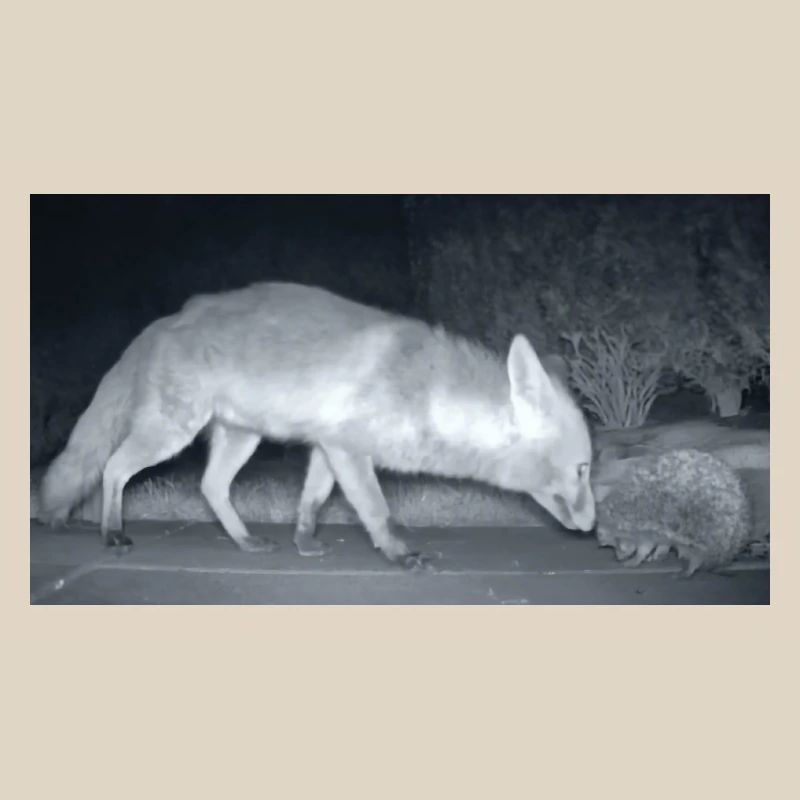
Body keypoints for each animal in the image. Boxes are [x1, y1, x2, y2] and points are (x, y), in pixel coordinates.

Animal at [39, 282, 596, 566]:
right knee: (112, 469)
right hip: (170, 433)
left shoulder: (330, 447)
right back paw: (111, 532)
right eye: (583, 470)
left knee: (210, 487)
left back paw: (245, 542)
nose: (593, 528)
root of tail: (163, 322)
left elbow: (311, 502)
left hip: (241, 438)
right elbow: (376, 511)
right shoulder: (350, 450)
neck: (425, 391)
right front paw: (399, 554)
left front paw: (304, 544)